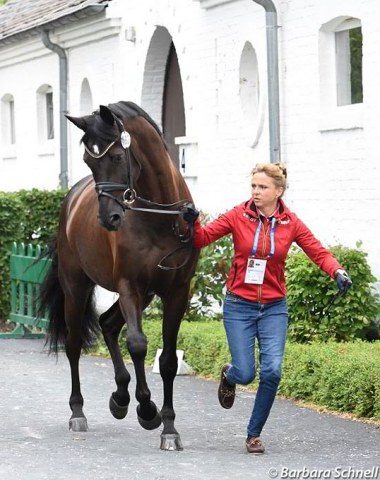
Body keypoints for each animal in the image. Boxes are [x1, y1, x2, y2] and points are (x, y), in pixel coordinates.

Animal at [38, 100, 199, 450]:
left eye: (116, 157)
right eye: (88, 160)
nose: (108, 218)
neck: (159, 217)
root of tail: (70, 201)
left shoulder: (177, 291)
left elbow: (168, 360)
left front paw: (168, 428)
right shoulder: (129, 286)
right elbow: (137, 344)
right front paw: (148, 409)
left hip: (147, 294)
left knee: (108, 324)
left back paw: (120, 396)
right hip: (76, 288)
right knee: (74, 344)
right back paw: (79, 411)